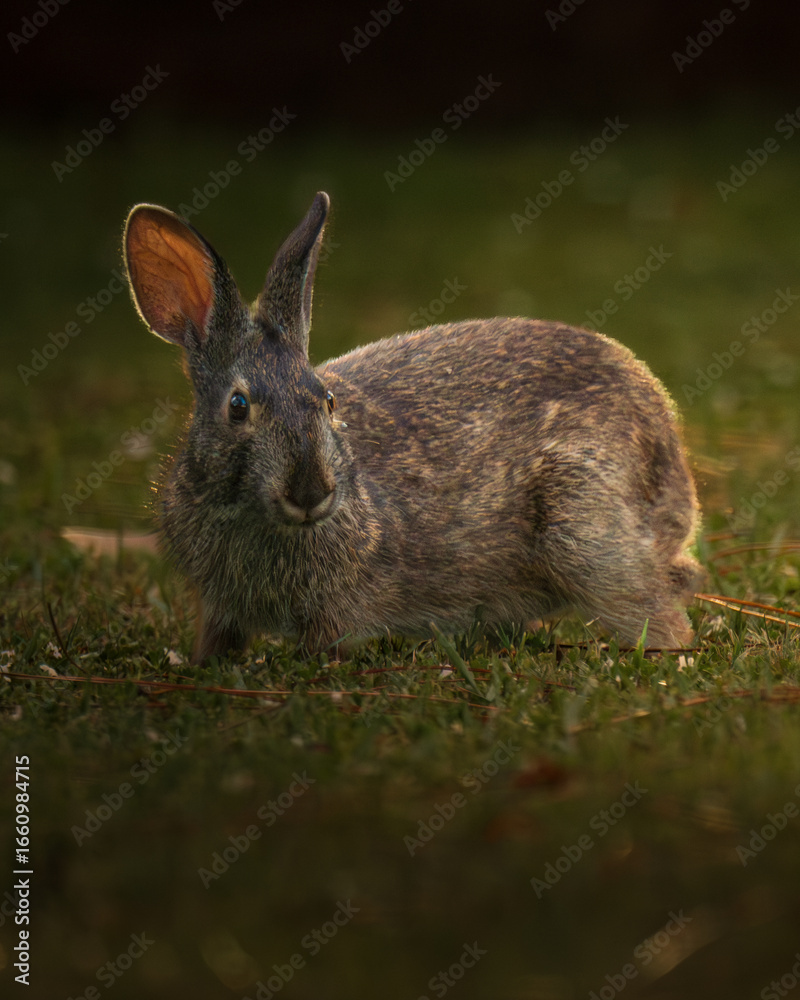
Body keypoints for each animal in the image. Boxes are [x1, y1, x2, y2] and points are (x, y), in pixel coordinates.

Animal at [123, 191, 701, 664]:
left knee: (652, 604)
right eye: (238, 407)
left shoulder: (335, 612)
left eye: (327, 401)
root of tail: (668, 453)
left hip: (582, 527)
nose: (311, 492)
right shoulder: (218, 605)